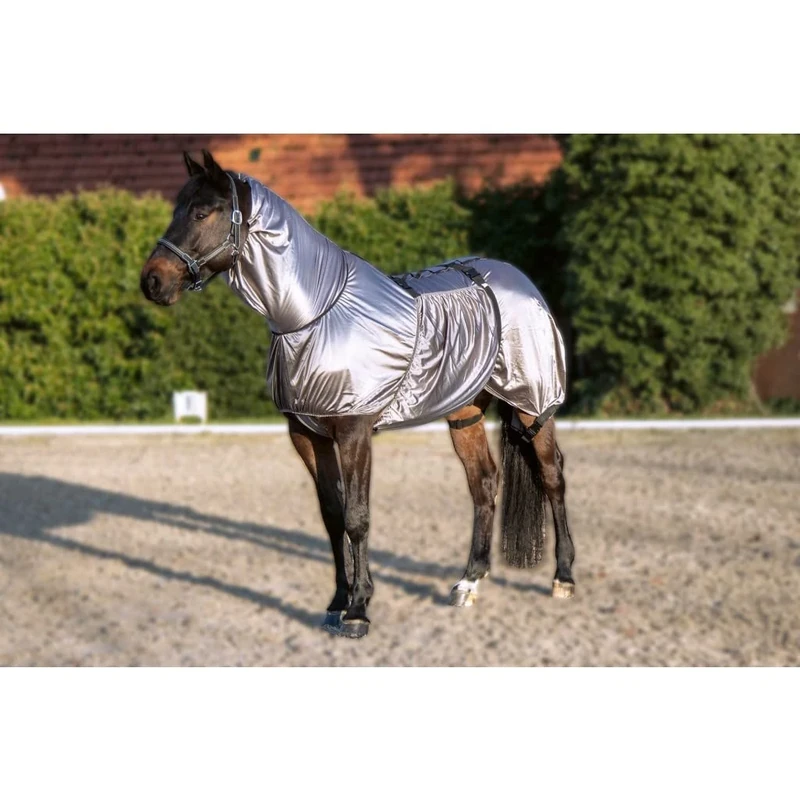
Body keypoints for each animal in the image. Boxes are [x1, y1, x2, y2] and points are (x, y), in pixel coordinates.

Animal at [140, 150, 576, 639]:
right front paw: (336, 602)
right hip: (466, 411)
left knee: (552, 476)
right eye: (175, 209)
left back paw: (563, 578)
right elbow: (332, 515)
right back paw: (468, 583)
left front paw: (359, 611)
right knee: (483, 482)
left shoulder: (354, 429)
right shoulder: (307, 434)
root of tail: (515, 277)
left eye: (201, 213)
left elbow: (357, 517)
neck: (316, 312)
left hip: (533, 400)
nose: (152, 281)